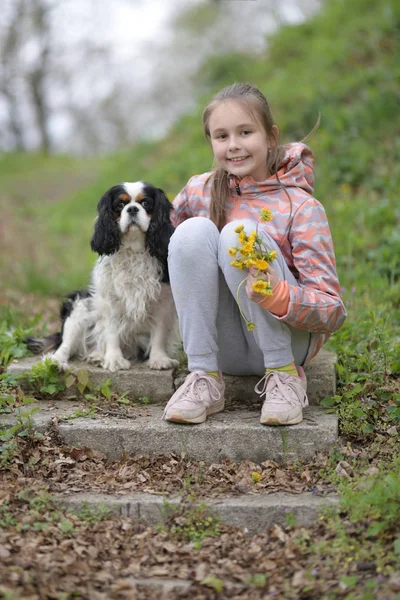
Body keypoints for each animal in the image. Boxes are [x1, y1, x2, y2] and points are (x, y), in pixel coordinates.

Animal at [27, 180, 179, 372]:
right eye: (120, 205)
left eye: (145, 203)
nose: (132, 209)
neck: (133, 250)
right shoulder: (110, 300)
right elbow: (112, 331)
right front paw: (114, 359)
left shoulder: (163, 301)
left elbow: (159, 333)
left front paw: (159, 359)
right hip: (81, 306)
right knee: (66, 345)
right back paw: (59, 361)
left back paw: (97, 356)